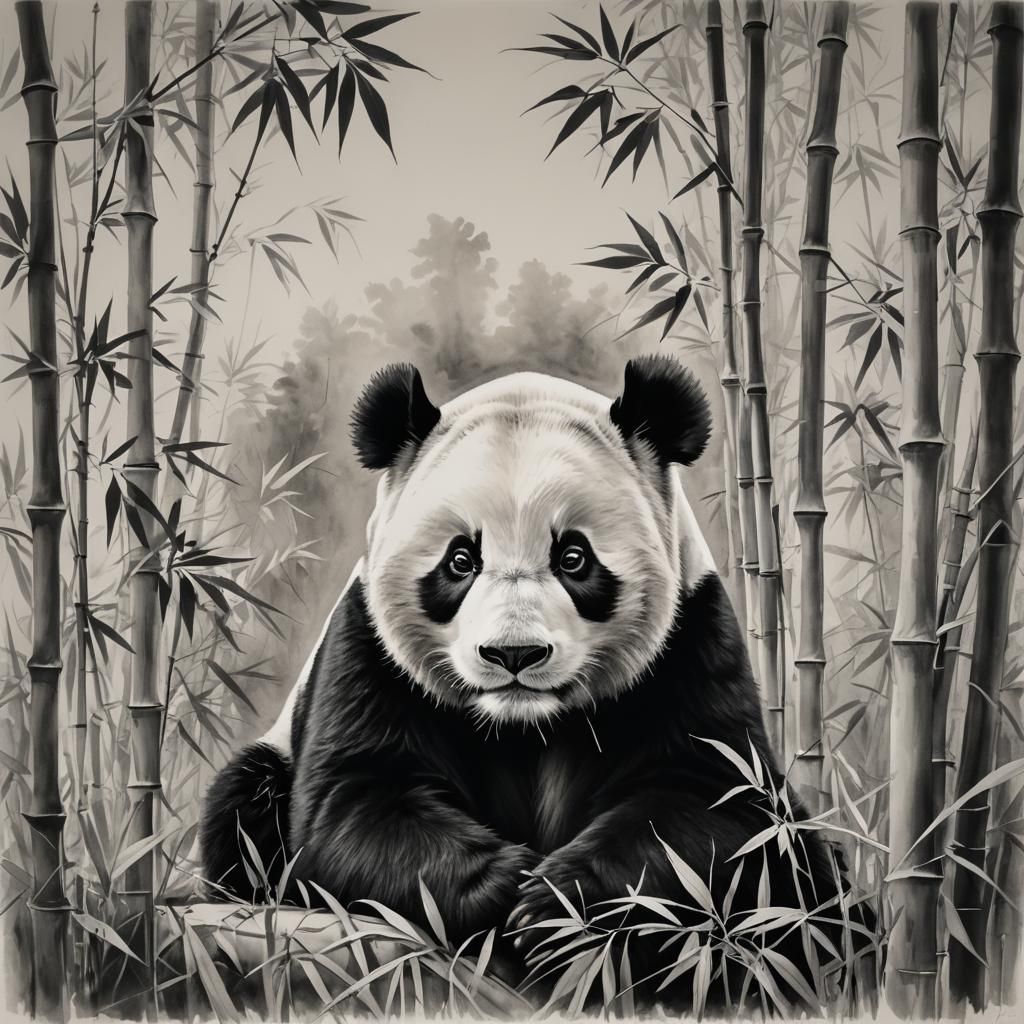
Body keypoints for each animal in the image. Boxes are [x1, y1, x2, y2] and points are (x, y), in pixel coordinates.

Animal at [200, 355, 869, 1008]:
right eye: (460, 560)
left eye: (573, 557)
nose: (513, 653)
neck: (525, 722)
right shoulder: (369, 651)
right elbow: (356, 803)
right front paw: (504, 888)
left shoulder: (691, 641)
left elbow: (712, 802)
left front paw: (556, 903)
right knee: (244, 808)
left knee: (809, 887)